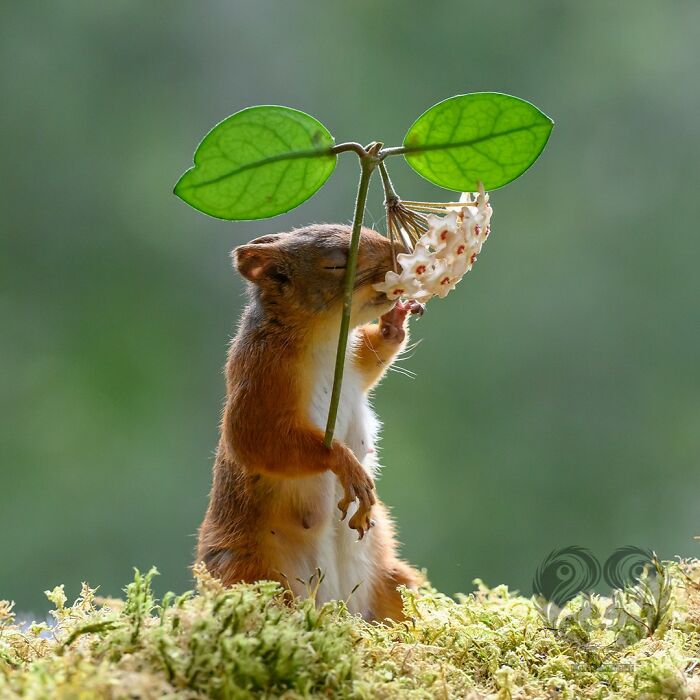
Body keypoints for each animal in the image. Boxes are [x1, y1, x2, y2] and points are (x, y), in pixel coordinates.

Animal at [196, 223, 424, 621]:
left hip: (392, 579)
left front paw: (394, 322)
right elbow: (257, 440)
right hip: (254, 574)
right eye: (335, 265)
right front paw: (346, 464)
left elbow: (372, 360)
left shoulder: (353, 362)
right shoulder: (261, 376)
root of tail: (340, 604)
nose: (403, 255)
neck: (328, 339)